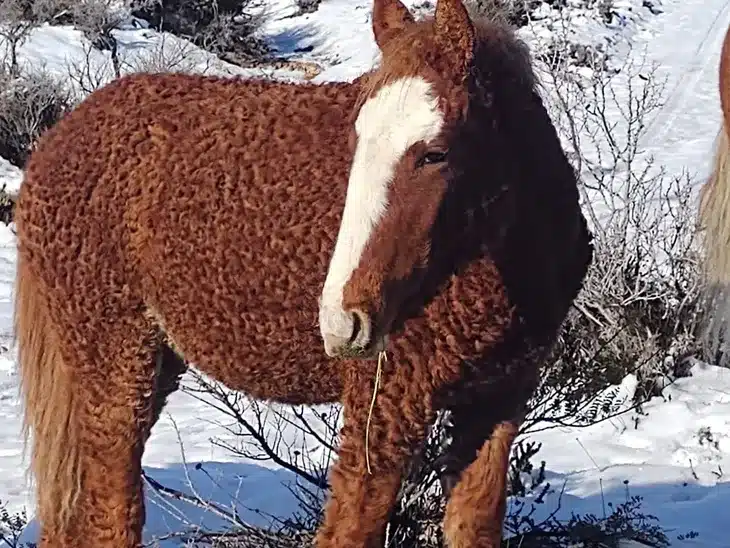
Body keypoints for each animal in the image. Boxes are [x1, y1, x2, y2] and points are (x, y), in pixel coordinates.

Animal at [13, 0, 593, 545]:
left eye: (435, 153)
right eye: (356, 141)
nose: (343, 321)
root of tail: (56, 139)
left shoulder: (496, 405)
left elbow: (473, 526)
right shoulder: (384, 408)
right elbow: (349, 532)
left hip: (149, 364)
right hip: (114, 364)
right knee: (111, 515)